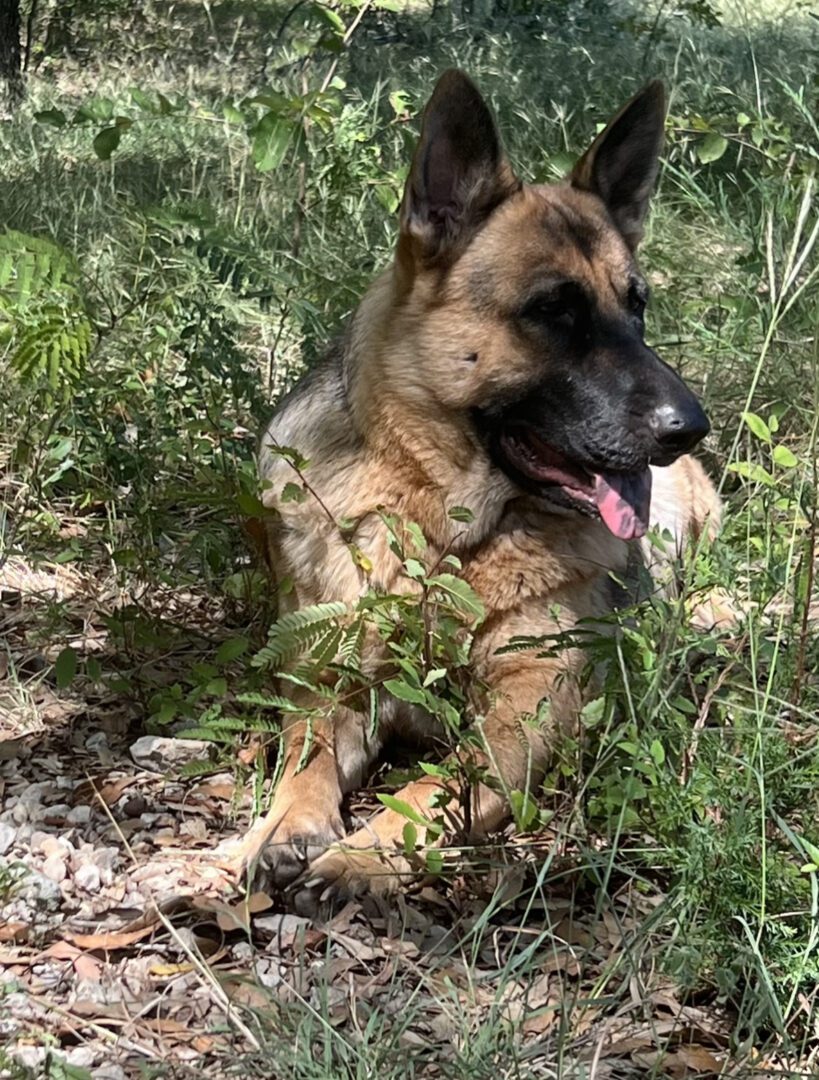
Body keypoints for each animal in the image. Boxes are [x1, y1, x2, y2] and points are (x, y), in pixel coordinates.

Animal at [240, 69, 726, 911]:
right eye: (552, 311)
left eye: (635, 307)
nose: (687, 428)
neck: (443, 535)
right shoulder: (330, 682)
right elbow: (303, 756)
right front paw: (285, 827)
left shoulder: (527, 708)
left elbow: (434, 788)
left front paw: (362, 855)